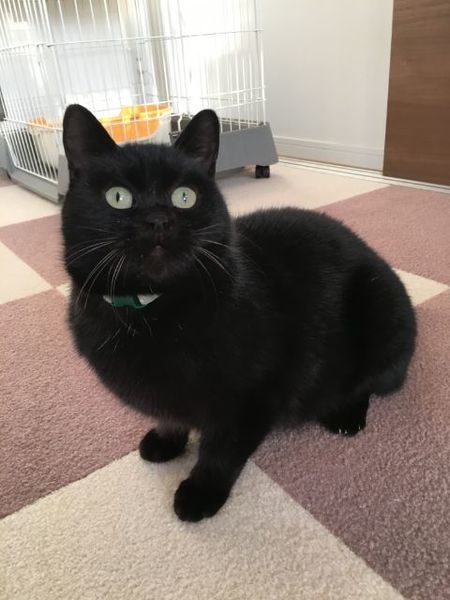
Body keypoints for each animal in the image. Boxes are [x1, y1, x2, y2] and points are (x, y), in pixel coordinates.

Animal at [62, 105, 416, 522]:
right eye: (118, 197)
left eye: (184, 197)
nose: (158, 220)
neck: (151, 311)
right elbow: (170, 414)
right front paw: (166, 441)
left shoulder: (250, 398)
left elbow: (222, 451)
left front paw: (201, 493)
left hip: (380, 311)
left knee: (370, 383)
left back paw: (345, 416)